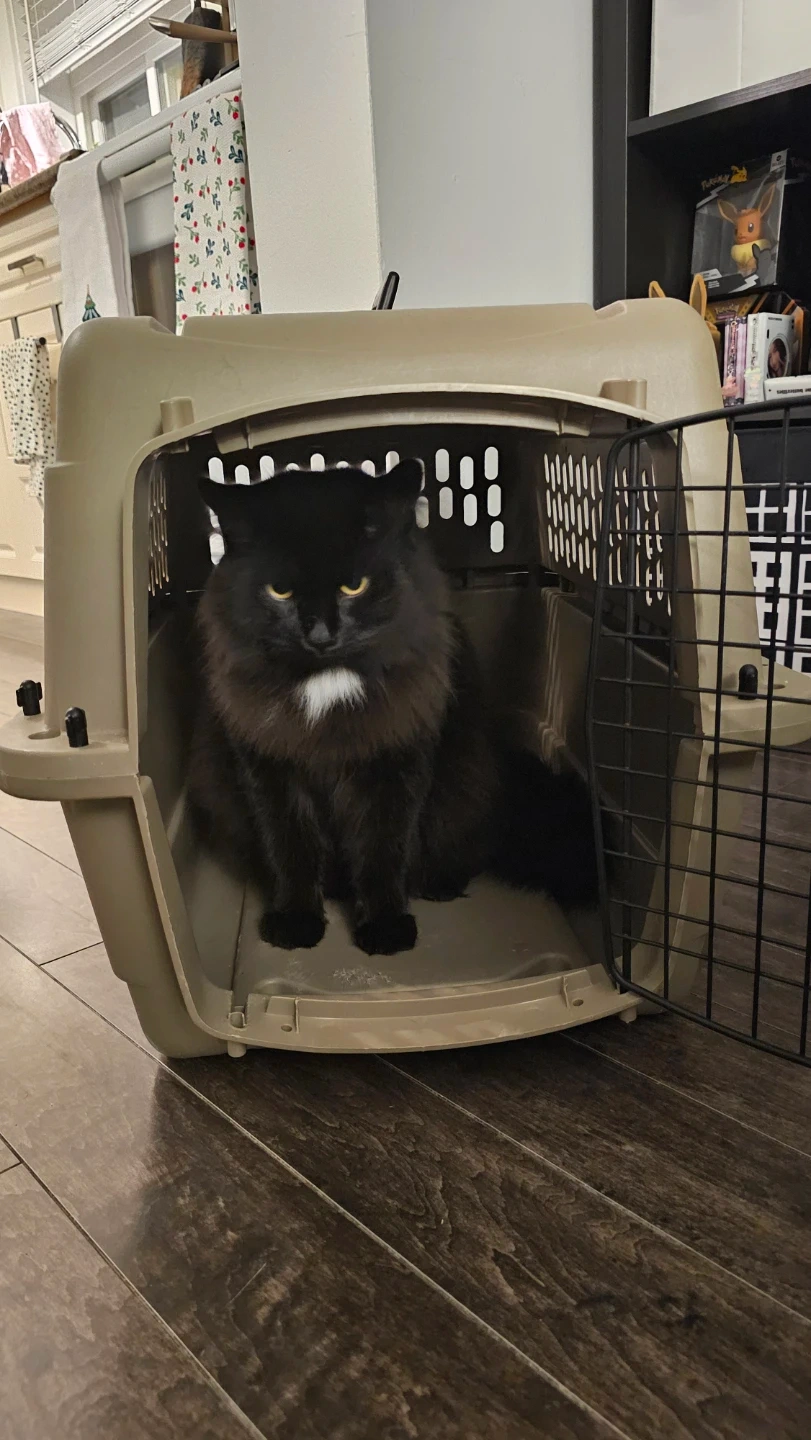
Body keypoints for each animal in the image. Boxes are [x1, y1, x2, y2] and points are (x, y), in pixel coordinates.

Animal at [190, 460, 604, 957]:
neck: (326, 683)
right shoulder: (270, 771)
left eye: (354, 585)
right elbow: (290, 850)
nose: (321, 635)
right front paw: (296, 922)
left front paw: (386, 928)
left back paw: (439, 886)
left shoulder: (393, 767)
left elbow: (382, 851)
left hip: (464, 789)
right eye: (280, 592)